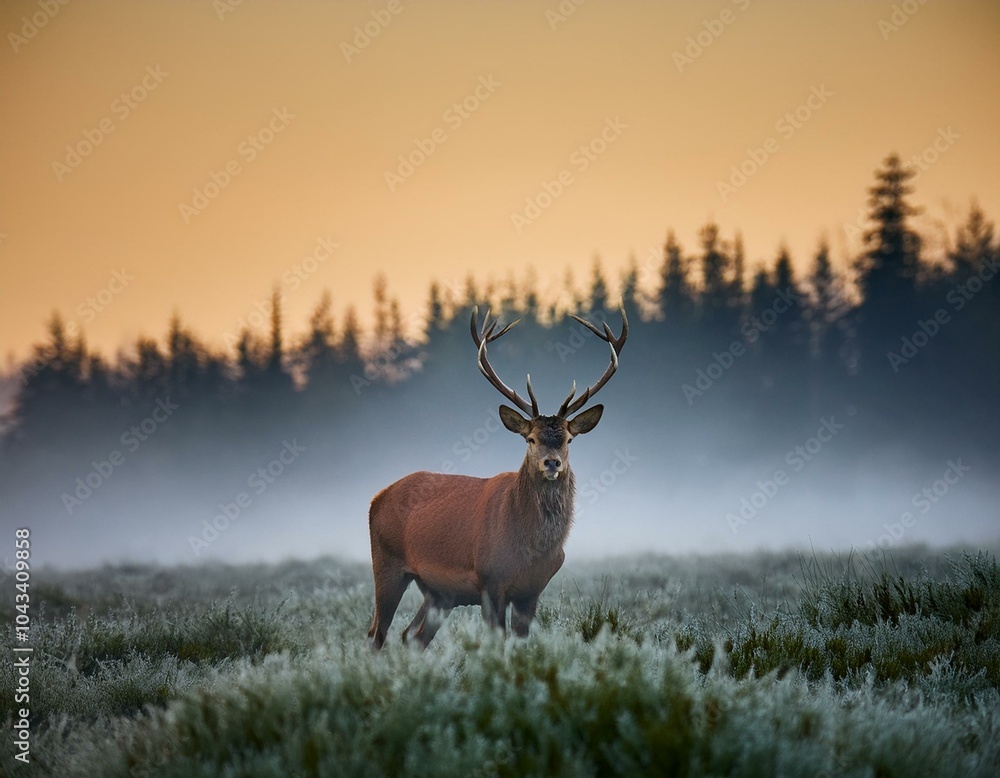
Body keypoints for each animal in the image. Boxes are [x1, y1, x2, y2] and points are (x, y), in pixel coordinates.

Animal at [367, 302, 628, 649]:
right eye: (530, 438)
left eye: (569, 439)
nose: (552, 463)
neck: (530, 548)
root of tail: (376, 497)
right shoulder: (490, 580)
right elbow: (496, 644)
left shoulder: (532, 590)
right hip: (386, 563)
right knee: (377, 634)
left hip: (438, 592)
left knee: (411, 635)